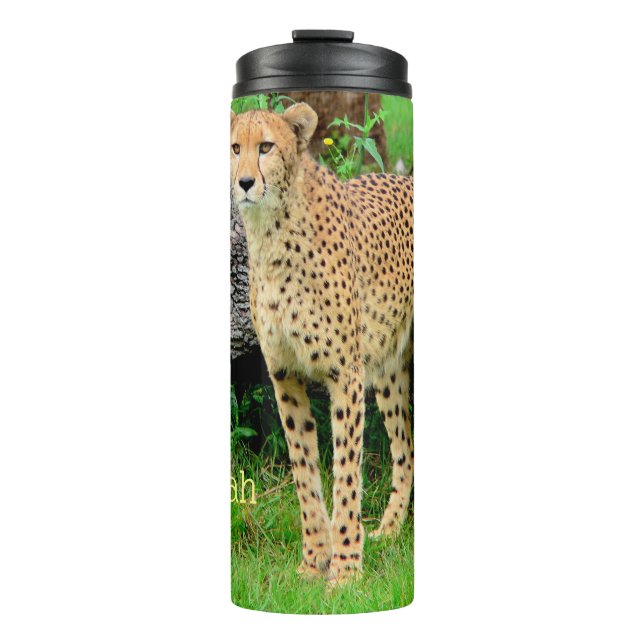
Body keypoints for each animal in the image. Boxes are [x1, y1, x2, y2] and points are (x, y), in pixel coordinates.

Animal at [230, 102, 413, 588]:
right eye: (235, 148)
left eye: (266, 146)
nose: (244, 182)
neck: (272, 231)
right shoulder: (285, 374)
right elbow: (304, 471)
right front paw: (314, 562)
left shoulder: (344, 374)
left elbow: (345, 471)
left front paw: (346, 570)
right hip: (389, 368)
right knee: (405, 447)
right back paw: (389, 530)